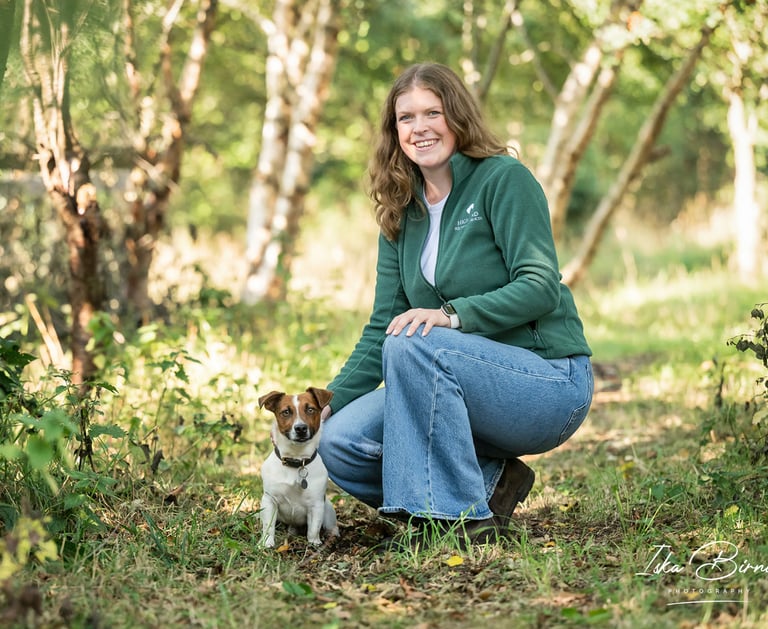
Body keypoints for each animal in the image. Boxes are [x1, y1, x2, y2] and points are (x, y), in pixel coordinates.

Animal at [258, 387, 339, 548]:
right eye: (286, 412)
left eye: (310, 409)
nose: (300, 428)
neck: (295, 461)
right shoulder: (269, 500)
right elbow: (268, 526)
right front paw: (266, 543)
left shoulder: (316, 505)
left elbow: (313, 529)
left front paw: (314, 544)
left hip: (327, 509)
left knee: (330, 525)